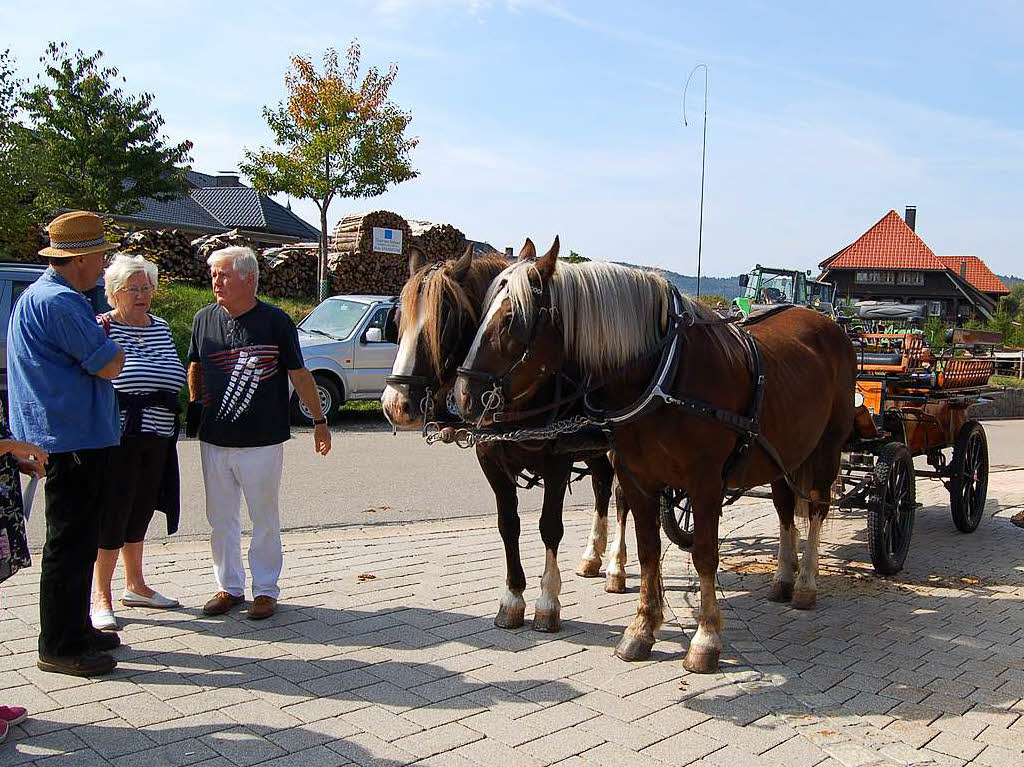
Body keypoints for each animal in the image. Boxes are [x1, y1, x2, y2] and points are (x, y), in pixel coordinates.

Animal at [456, 237, 856, 671]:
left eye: (512, 318)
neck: (664, 373)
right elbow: (648, 551)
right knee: (785, 508)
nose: (463, 397)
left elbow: (704, 555)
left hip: (827, 448)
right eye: (480, 313)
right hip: (784, 454)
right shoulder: (638, 478)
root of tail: (830, 325)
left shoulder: (704, 483)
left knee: (815, 507)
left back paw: (805, 583)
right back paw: (783, 576)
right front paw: (642, 630)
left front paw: (706, 638)